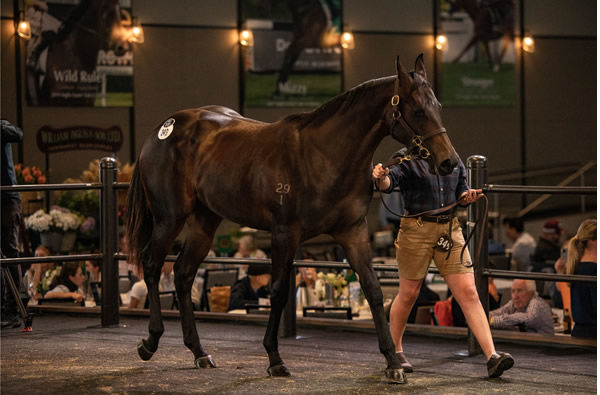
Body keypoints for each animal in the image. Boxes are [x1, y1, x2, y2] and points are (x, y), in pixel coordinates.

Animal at [124, 55, 458, 384]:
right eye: (417, 110)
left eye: (439, 107)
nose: (449, 162)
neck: (322, 155)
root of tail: (162, 130)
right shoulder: (284, 234)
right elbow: (277, 292)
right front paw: (275, 359)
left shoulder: (352, 232)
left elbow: (374, 290)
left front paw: (392, 362)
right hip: (169, 218)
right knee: (152, 265)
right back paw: (150, 342)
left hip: (205, 222)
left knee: (182, 273)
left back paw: (199, 352)